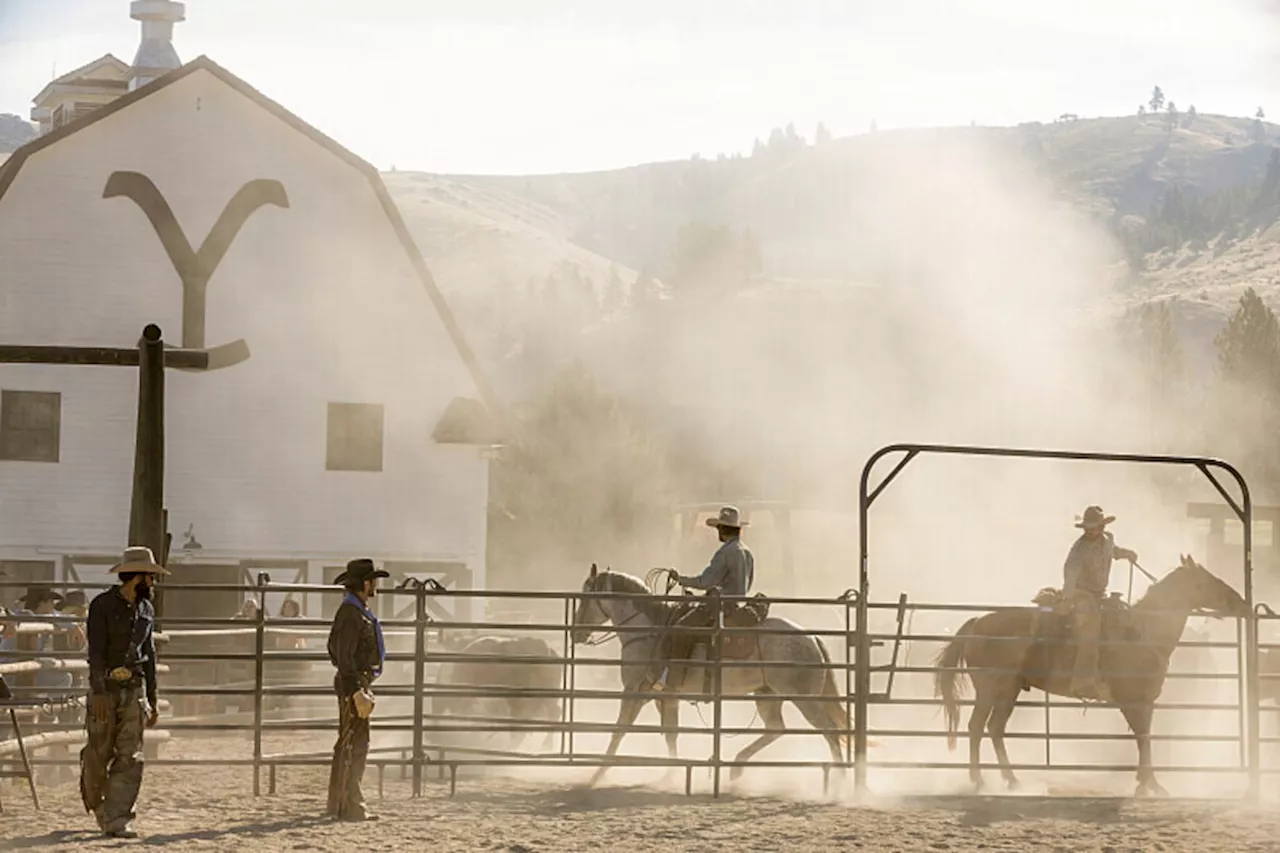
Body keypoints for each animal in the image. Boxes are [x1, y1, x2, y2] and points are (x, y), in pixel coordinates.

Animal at [570, 563, 849, 783]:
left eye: (585, 597)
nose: (575, 633)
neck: (649, 632)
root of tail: (812, 638)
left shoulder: (634, 691)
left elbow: (618, 732)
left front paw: (596, 774)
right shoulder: (666, 696)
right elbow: (670, 734)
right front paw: (671, 774)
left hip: (806, 700)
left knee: (830, 732)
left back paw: (840, 783)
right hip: (767, 695)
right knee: (776, 728)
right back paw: (736, 767)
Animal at [936, 555, 1244, 794]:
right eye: (1205, 581)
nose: (1239, 601)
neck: (1144, 631)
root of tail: (977, 622)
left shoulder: (1147, 701)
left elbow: (1145, 737)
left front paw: (1148, 782)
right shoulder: (1133, 700)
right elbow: (1143, 737)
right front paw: (1149, 784)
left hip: (1009, 690)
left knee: (995, 728)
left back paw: (1012, 780)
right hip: (989, 688)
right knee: (976, 727)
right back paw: (978, 780)